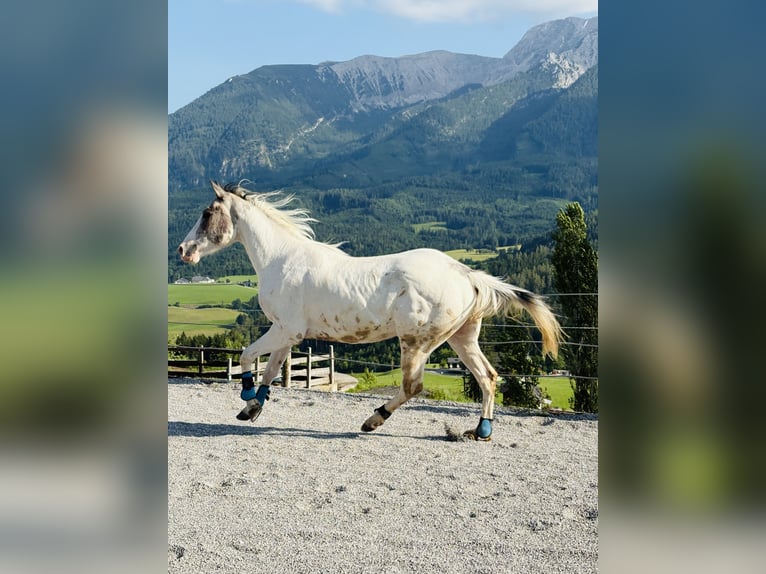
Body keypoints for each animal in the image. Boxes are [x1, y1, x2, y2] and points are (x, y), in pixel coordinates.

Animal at [178, 181, 562, 440]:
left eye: (207, 213)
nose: (183, 250)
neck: (281, 259)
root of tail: (467, 274)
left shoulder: (285, 329)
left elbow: (247, 356)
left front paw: (246, 398)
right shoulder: (288, 334)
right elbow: (270, 370)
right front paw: (252, 407)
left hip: (417, 341)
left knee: (413, 386)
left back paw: (372, 420)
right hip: (461, 338)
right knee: (488, 376)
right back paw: (480, 431)